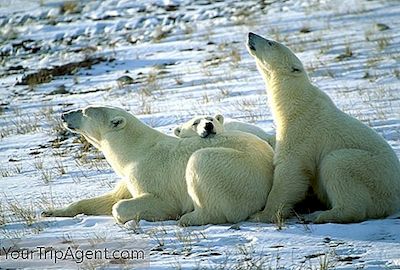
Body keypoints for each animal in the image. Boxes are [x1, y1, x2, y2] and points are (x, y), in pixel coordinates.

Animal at [43, 105, 276, 226]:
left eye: (84, 111)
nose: (64, 114)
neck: (133, 150)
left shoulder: (149, 171)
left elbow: (148, 203)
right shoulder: (128, 177)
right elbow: (110, 198)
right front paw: (51, 211)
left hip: (237, 171)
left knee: (200, 163)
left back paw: (189, 218)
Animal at [247, 32, 400, 224]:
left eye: (270, 42)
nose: (250, 34)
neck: (296, 102)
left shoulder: (302, 128)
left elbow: (290, 168)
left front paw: (261, 214)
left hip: (372, 174)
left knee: (337, 164)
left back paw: (320, 214)